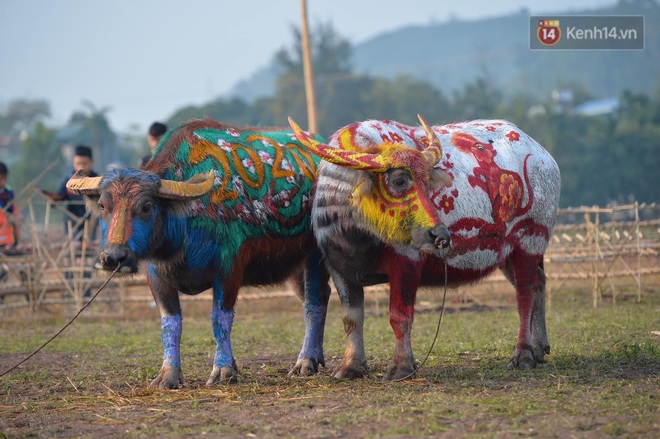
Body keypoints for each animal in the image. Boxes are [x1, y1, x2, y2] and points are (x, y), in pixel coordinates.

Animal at [67, 119, 330, 388]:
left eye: (146, 206)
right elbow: (170, 323)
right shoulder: (156, 277)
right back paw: (316, 357)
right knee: (314, 298)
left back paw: (306, 361)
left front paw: (223, 370)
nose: (113, 257)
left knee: (314, 302)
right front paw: (168, 375)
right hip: (294, 268)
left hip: (316, 257)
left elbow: (219, 319)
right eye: (103, 206)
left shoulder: (229, 269)